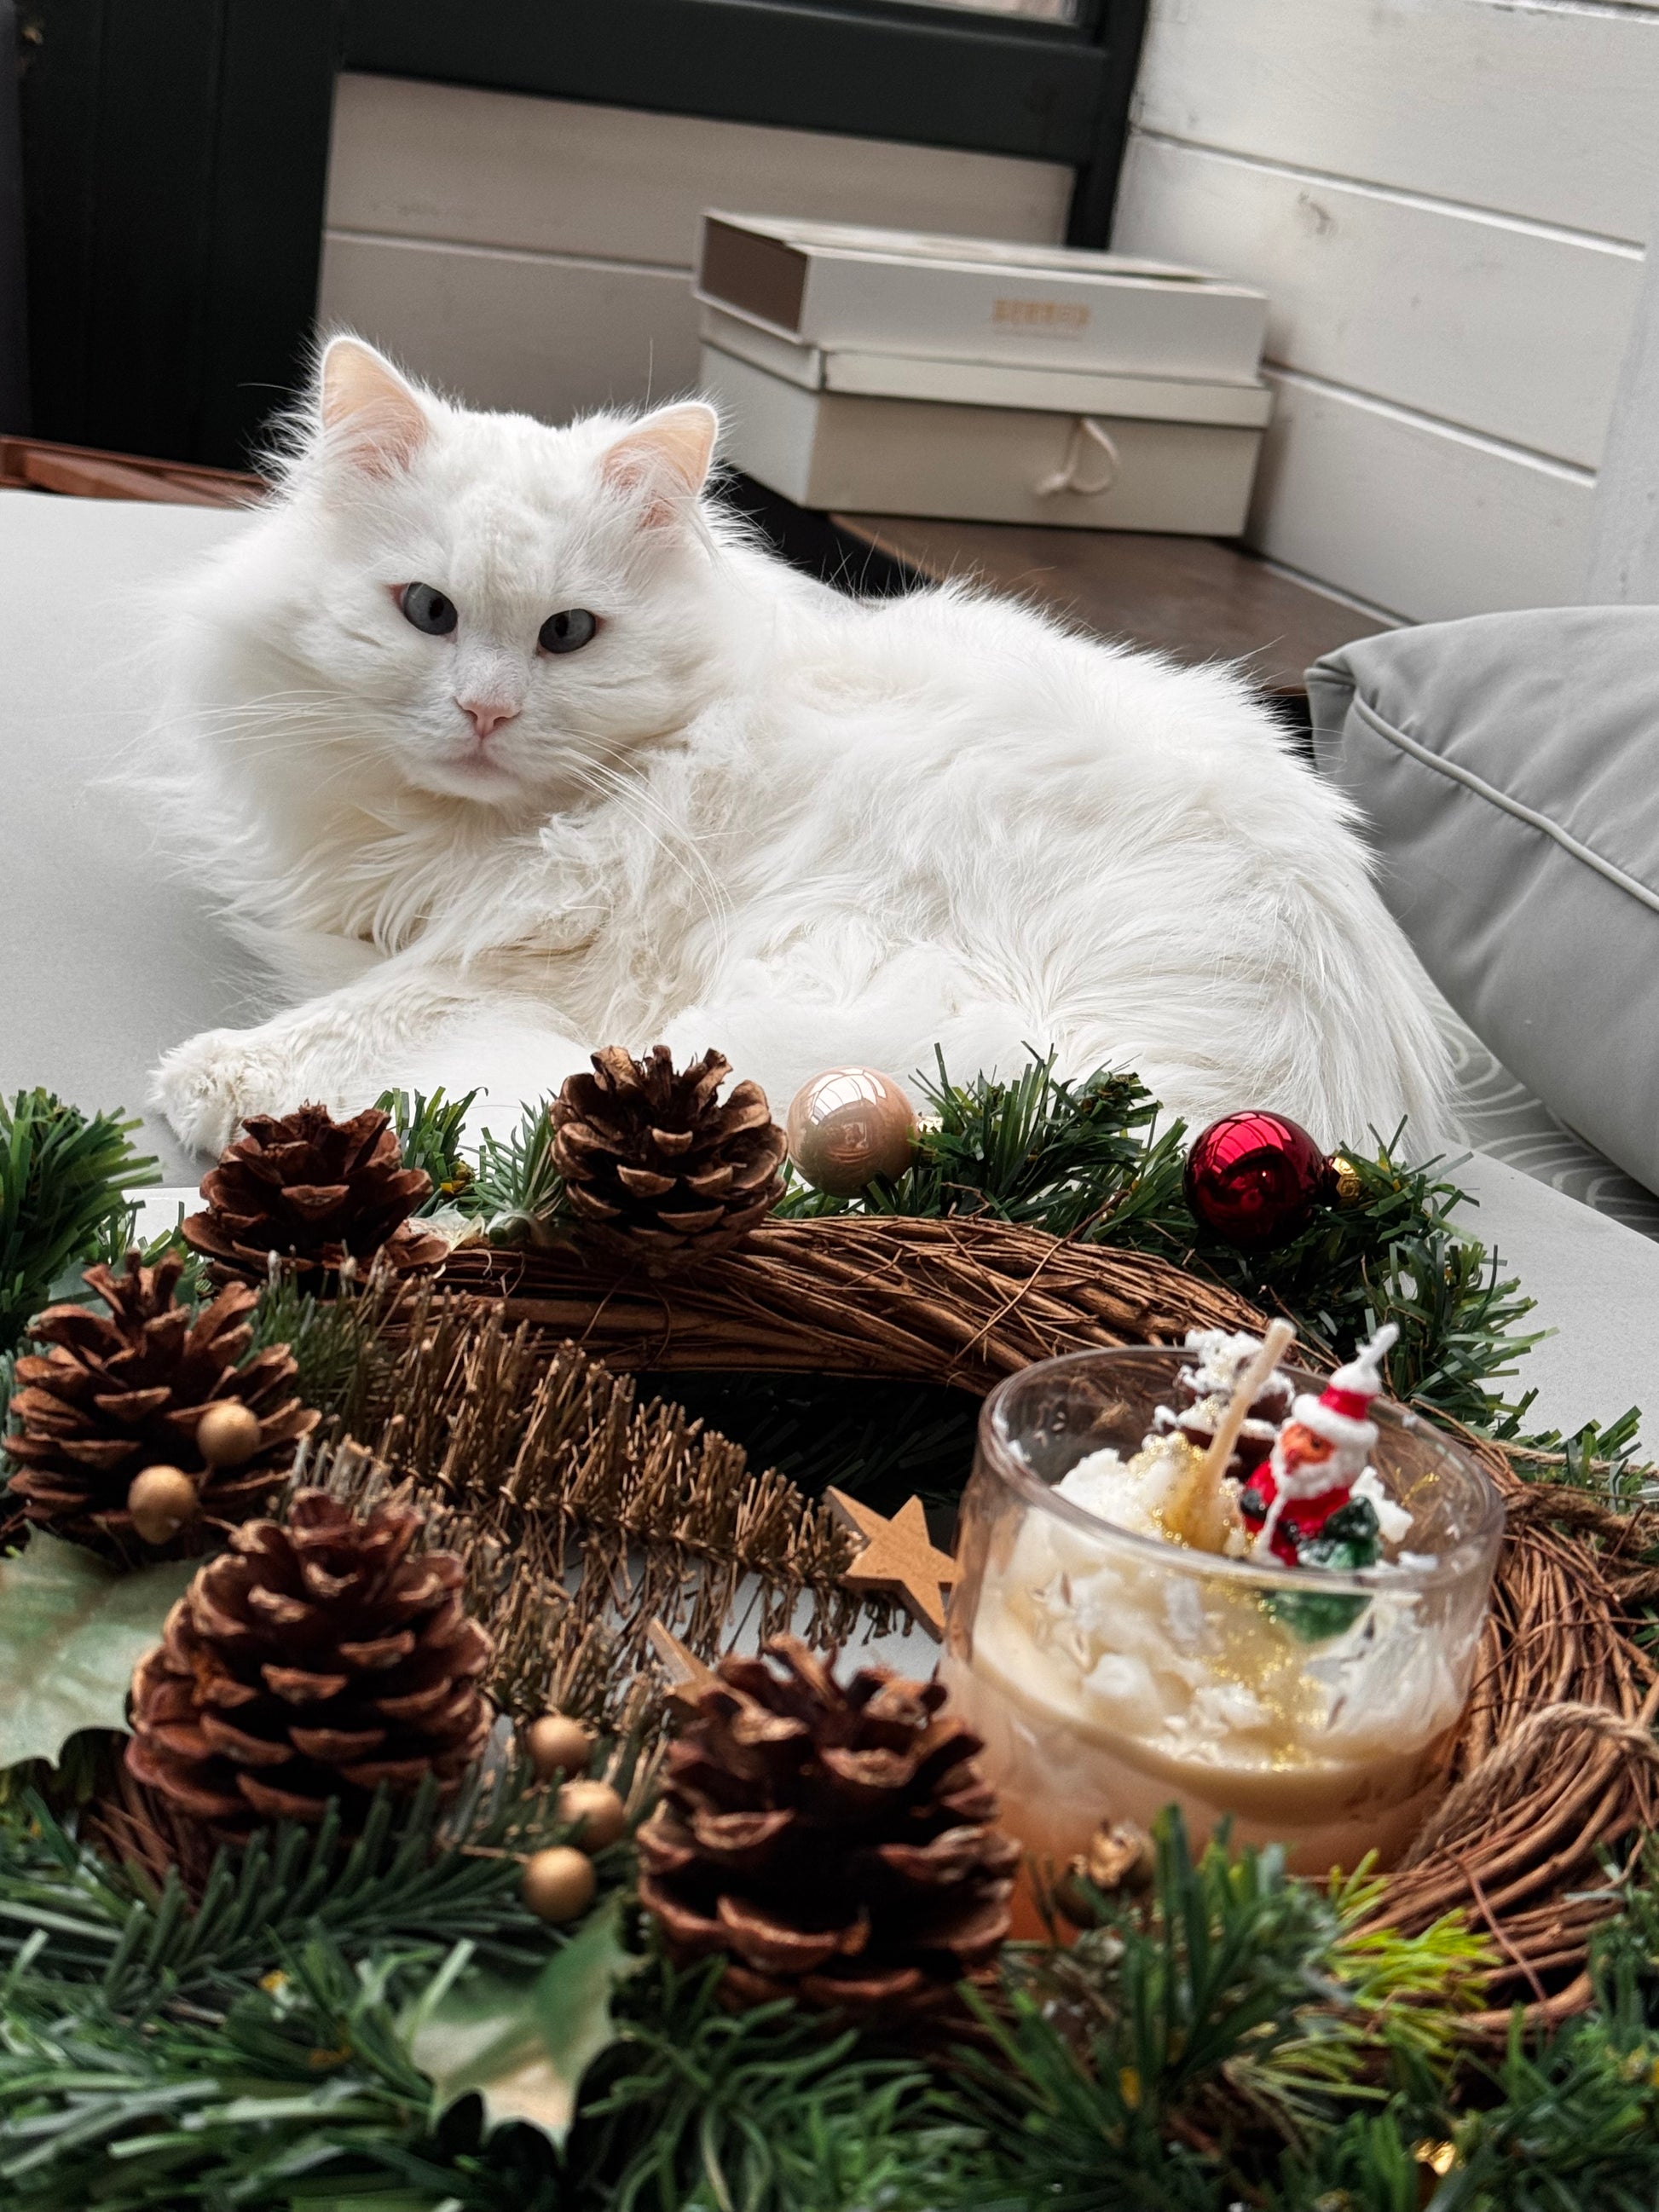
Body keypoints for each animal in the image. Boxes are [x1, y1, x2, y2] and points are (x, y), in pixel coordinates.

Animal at [151, 335, 1452, 1163]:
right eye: (428, 612)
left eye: (567, 635)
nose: (485, 714)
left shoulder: (540, 950)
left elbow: (363, 1012)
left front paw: (214, 1079)